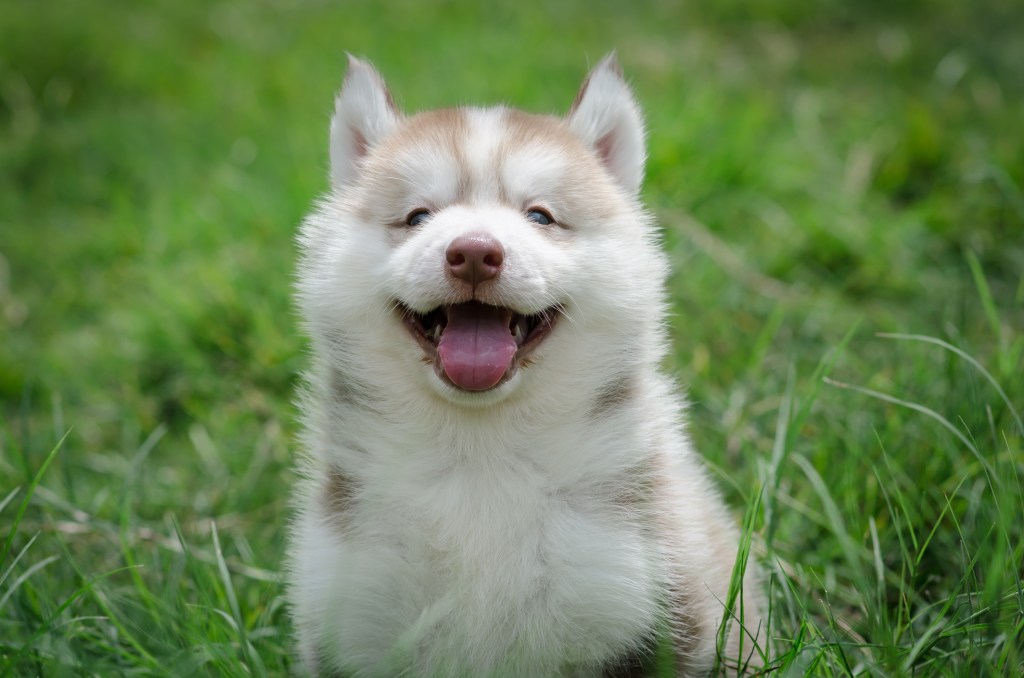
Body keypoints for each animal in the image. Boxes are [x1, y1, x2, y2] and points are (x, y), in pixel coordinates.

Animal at [288, 54, 761, 678]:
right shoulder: (354, 607)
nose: (473, 252)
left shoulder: (636, 597)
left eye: (540, 215)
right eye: (417, 216)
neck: (480, 459)